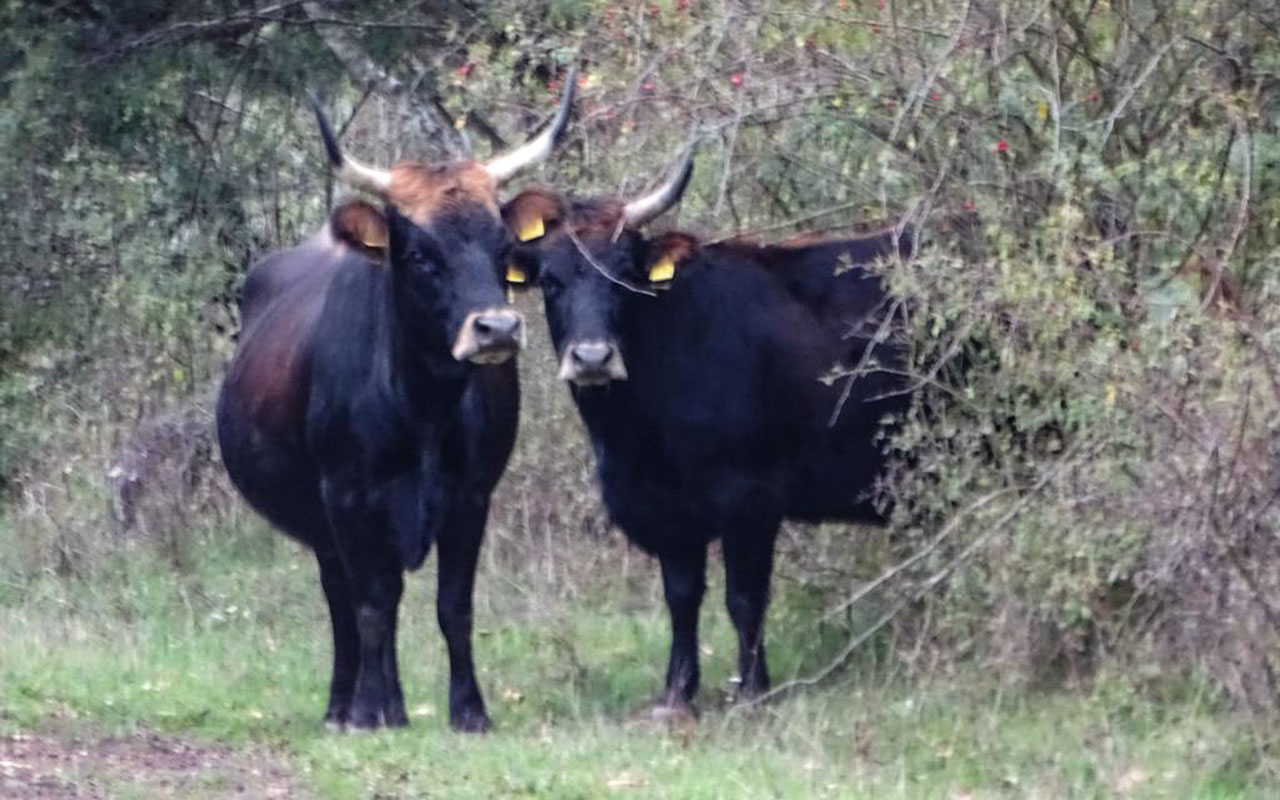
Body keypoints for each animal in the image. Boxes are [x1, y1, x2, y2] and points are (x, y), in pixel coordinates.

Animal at [499, 154, 911, 711]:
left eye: (624, 277)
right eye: (550, 280)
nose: (592, 358)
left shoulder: (749, 498)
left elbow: (744, 597)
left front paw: (753, 691)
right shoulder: (667, 510)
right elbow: (681, 595)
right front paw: (677, 692)